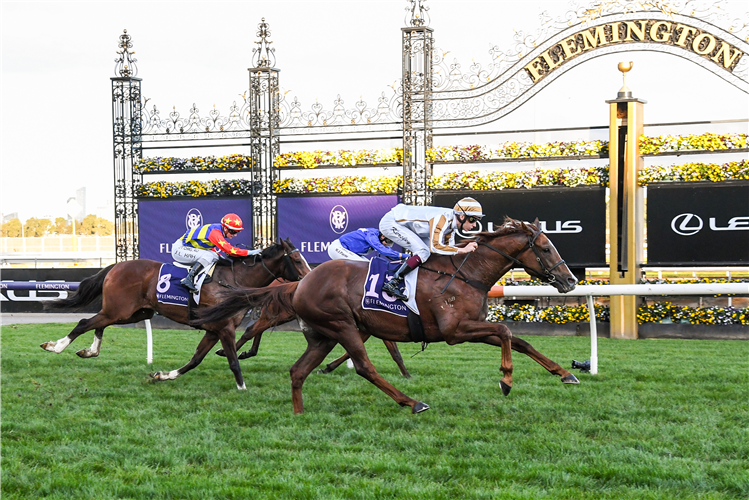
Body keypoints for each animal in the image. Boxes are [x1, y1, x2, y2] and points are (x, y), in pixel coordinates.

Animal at [40, 239, 310, 390]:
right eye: (297, 259)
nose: (309, 277)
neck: (235, 281)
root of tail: (117, 265)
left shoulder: (214, 329)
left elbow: (195, 360)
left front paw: (163, 375)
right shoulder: (224, 327)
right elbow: (233, 361)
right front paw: (243, 388)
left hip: (133, 312)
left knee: (98, 323)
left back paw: (90, 350)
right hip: (121, 309)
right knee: (85, 321)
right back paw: (56, 346)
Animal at [194, 220, 580, 414]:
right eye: (545, 248)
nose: (570, 281)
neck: (466, 274)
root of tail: (301, 282)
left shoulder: (467, 328)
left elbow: (517, 337)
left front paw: (565, 374)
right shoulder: (454, 331)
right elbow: (503, 330)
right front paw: (506, 379)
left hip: (324, 334)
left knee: (298, 371)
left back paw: (299, 413)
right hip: (341, 325)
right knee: (365, 367)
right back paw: (412, 402)